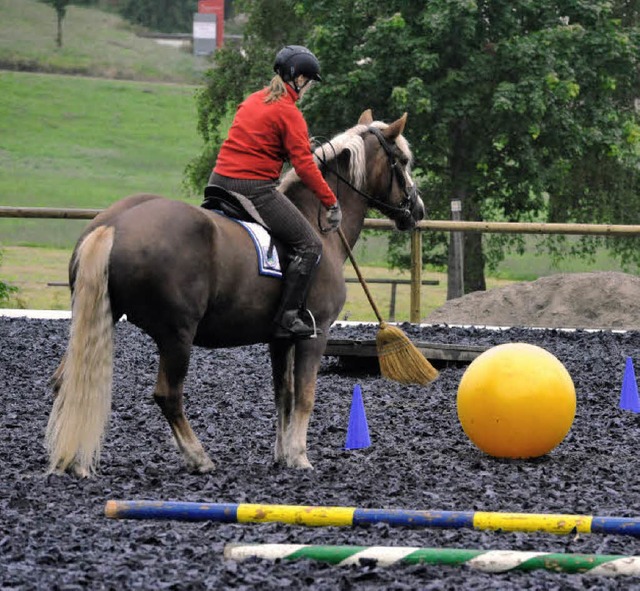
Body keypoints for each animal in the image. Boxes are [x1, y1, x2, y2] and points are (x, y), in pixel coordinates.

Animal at [45, 108, 424, 478]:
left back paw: (75, 460)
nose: (417, 210)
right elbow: (305, 396)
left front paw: (282, 454)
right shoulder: (314, 335)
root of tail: (114, 224)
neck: (320, 228)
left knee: (68, 380)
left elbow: (284, 394)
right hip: (177, 335)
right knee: (168, 395)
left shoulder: (280, 339)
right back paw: (198, 457)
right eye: (403, 160)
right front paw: (299, 456)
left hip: (100, 319)